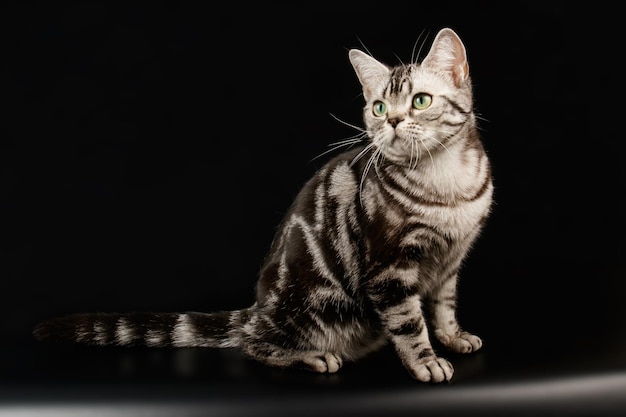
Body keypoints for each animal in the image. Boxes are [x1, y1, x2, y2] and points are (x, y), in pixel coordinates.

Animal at [34, 26, 492, 384]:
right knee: (252, 345)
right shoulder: (390, 268)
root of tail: (257, 309)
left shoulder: (451, 261)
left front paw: (453, 337)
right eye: (378, 108)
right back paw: (311, 356)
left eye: (420, 101)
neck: (447, 183)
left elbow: (443, 306)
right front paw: (426, 361)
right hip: (312, 307)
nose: (392, 122)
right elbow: (409, 322)